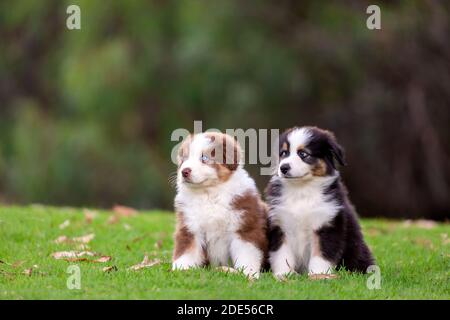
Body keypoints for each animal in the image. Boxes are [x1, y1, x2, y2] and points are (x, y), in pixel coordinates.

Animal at [171, 131, 266, 278]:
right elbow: (186, 250)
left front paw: (249, 274)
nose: (184, 171)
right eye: (184, 159)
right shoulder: (189, 227)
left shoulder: (243, 227)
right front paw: (180, 269)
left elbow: (247, 253)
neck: (209, 193)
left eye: (204, 158)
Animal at [266, 125, 374, 278]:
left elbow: (321, 254)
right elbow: (282, 254)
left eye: (303, 154)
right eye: (284, 153)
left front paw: (319, 276)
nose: (283, 168)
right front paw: (284, 275)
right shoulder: (280, 224)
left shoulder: (326, 223)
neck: (302, 190)